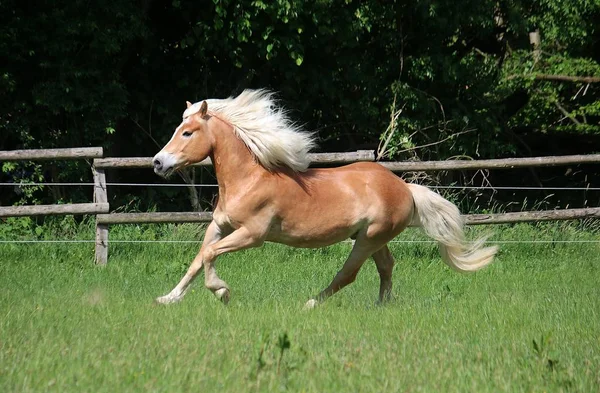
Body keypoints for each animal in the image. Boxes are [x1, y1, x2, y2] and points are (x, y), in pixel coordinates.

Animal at [151, 89, 496, 306]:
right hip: (373, 238)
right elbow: (198, 259)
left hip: (369, 238)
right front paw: (168, 298)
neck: (249, 179)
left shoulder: (252, 235)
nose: (158, 162)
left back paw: (312, 302)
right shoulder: (219, 226)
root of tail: (404, 188)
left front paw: (222, 292)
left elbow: (210, 255)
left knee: (348, 274)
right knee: (386, 267)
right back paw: (382, 305)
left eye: (187, 132)